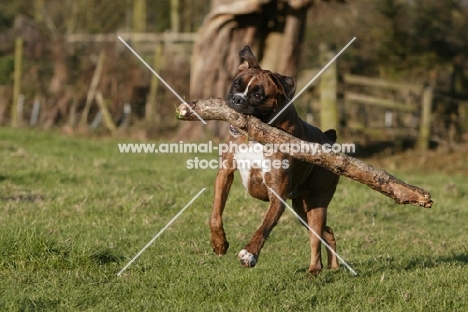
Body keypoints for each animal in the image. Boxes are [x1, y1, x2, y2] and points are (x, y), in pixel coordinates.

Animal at [212, 45, 340, 274]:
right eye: (236, 84)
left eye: (257, 95)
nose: (237, 99)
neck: (256, 136)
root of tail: (328, 139)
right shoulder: (225, 173)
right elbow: (215, 213)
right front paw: (219, 242)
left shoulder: (277, 195)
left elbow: (264, 227)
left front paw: (250, 254)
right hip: (301, 209)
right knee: (328, 233)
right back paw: (333, 267)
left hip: (316, 206)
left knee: (316, 238)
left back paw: (314, 271)